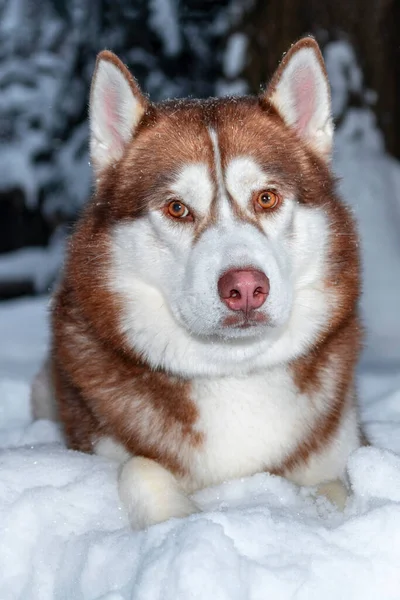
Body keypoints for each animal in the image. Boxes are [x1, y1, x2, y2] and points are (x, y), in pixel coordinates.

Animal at [43, 37, 362, 528]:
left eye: (266, 198)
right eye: (177, 208)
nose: (246, 287)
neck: (233, 374)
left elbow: (337, 487)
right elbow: (139, 469)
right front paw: (181, 521)